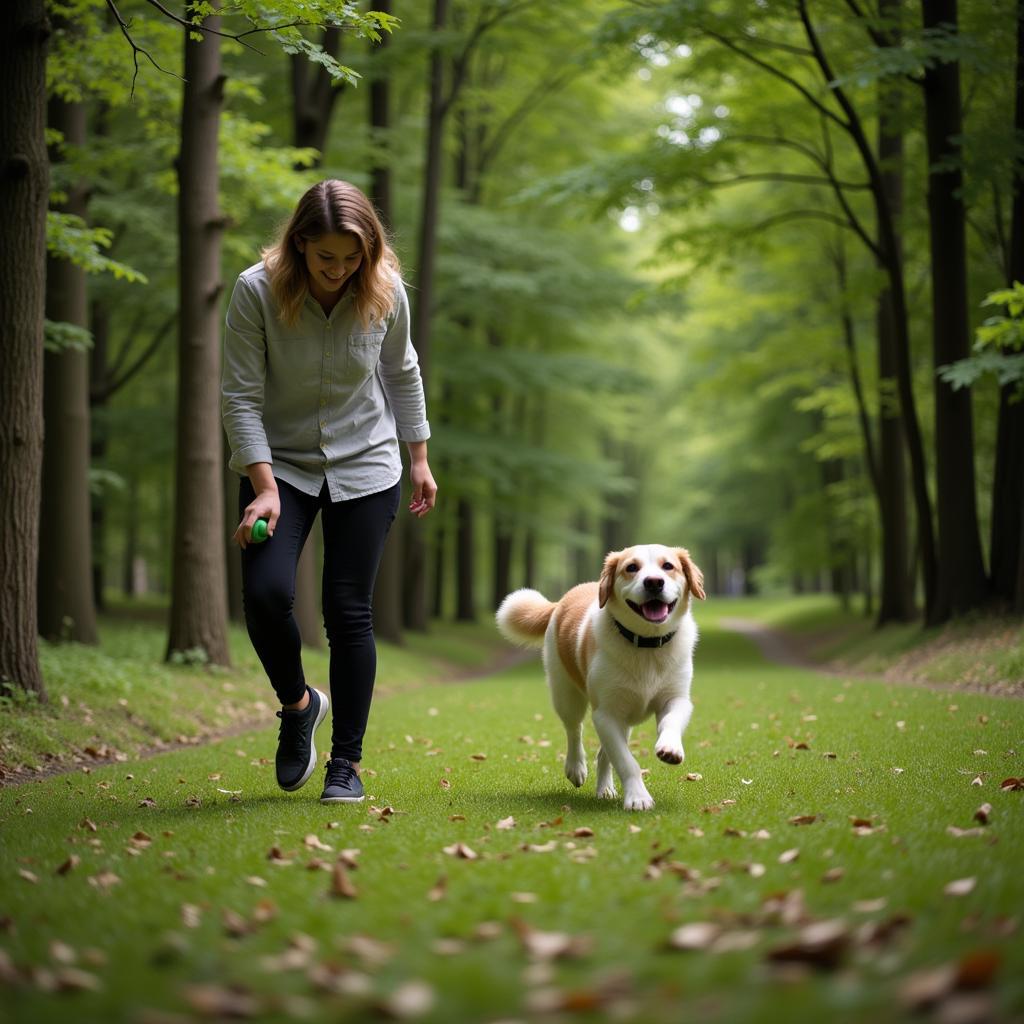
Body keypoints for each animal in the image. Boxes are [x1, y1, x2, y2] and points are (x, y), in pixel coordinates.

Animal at [495, 544, 704, 806]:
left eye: (668, 566)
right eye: (631, 567)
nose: (654, 582)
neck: (645, 645)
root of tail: (560, 602)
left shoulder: (676, 699)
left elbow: (670, 722)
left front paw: (670, 748)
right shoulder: (606, 713)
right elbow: (626, 761)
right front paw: (638, 797)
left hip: (623, 718)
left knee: (604, 752)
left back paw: (604, 788)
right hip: (567, 696)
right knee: (574, 731)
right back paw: (575, 767)